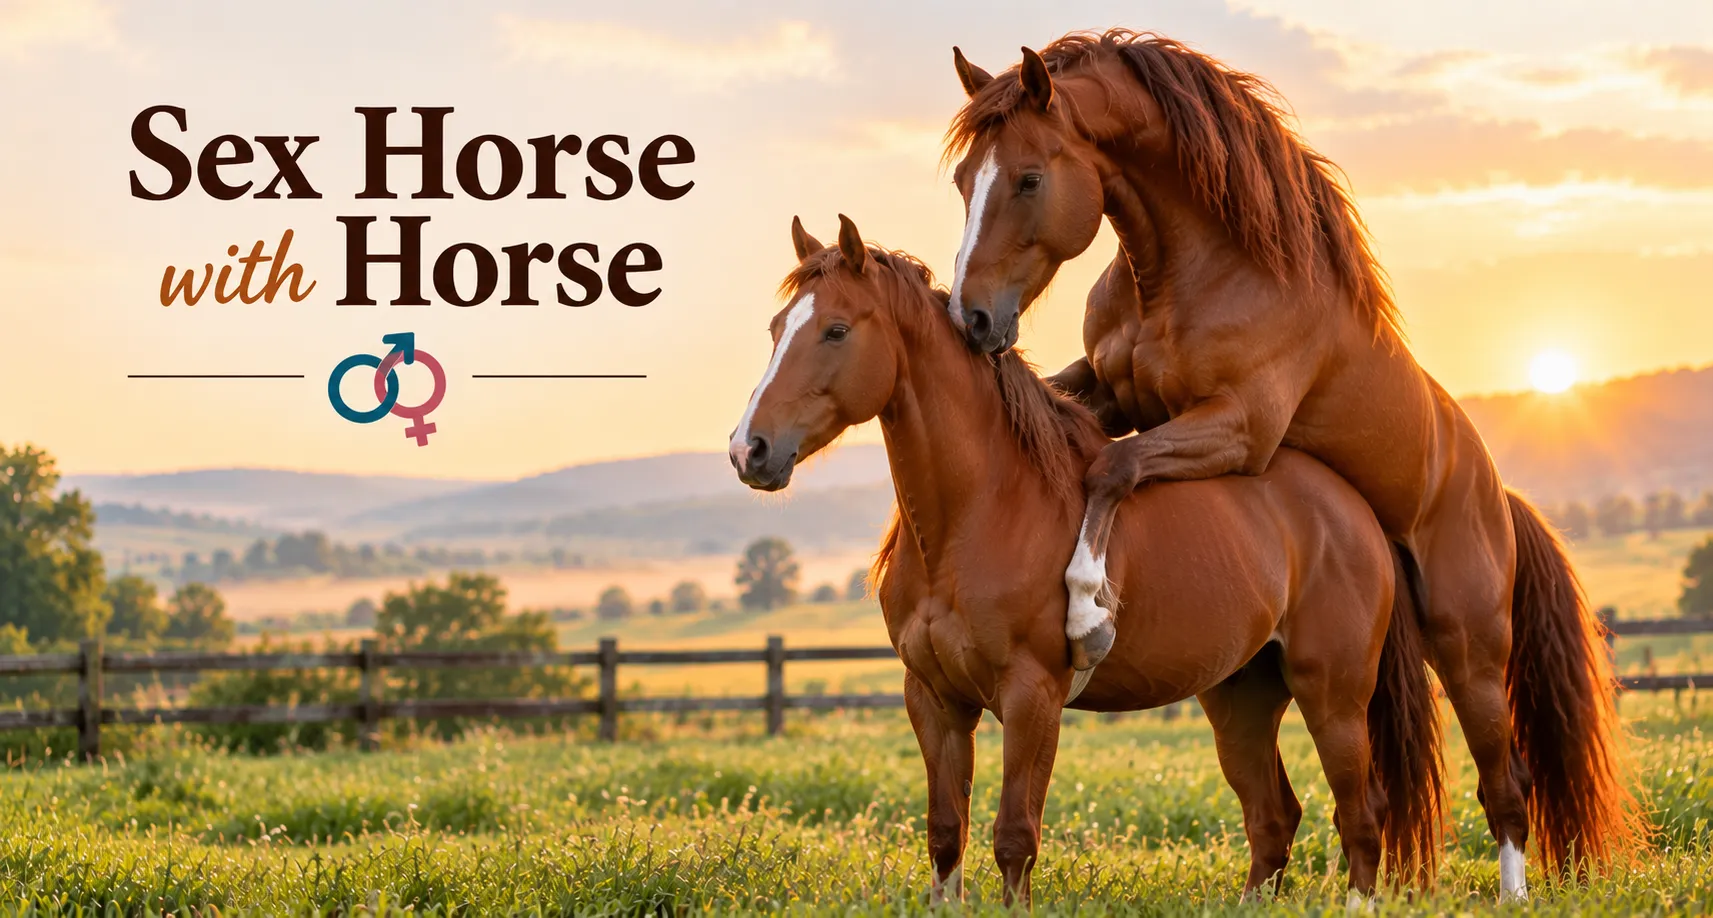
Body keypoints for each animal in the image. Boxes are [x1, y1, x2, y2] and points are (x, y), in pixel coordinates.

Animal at [727, 215, 1443, 906]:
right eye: (774, 329)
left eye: (836, 330)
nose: (748, 450)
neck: (980, 513)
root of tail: (1353, 508)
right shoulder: (933, 699)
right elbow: (945, 833)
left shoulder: (1031, 698)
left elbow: (1015, 838)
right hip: (1240, 697)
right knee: (1274, 819)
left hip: (1334, 697)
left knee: (1361, 816)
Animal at [940, 32, 1642, 894]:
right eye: (964, 180)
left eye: (1030, 178)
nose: (971, 319)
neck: (1200, 271)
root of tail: (1494, 494)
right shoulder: (1106, 391)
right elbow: (1076, 430)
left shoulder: (1238, 428)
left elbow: (1113, 469)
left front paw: (1084, 609)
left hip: (1471, 648)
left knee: (1503, 782)